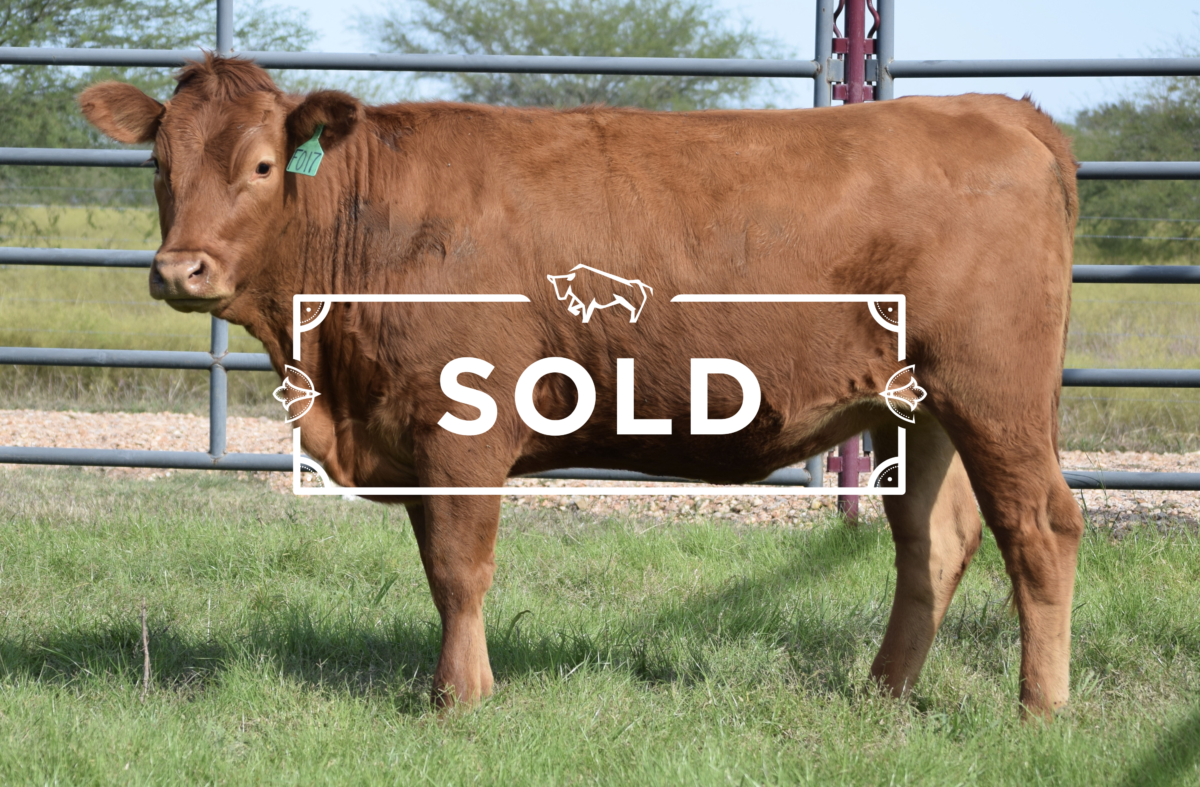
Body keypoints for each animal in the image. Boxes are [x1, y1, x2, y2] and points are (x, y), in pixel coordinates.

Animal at [79, 54, 1083, 718]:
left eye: (258, 165)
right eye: (160, 165)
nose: (180, 270)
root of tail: (996, 108)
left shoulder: (462, 425)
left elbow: (459, 566)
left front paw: (462, 696)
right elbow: (438, 565)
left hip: (995, 393)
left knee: (1039, 529)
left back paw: (1038, 707)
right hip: (911, 408)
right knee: (933, 543)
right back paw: (882, 692)